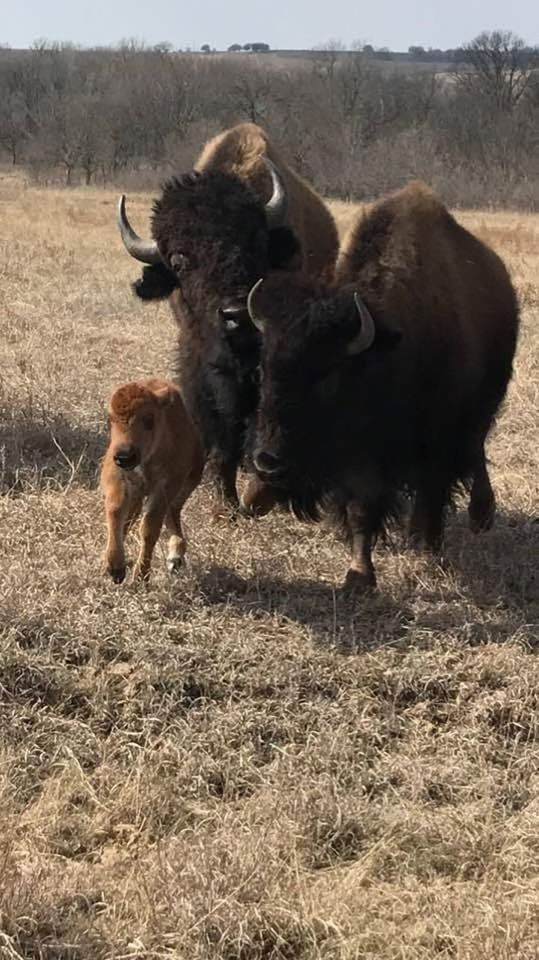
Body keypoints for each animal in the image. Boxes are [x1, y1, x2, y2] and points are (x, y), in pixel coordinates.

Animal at [101, 378, 205, 580]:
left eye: (149, 419)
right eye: (111, 419)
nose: (125, 456)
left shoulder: (166, 485)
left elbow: (149, 527)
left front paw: (141, 575)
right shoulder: (117, 476)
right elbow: (116, 511)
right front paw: (115, 567)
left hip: (190, 479)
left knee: (172, 511)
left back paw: (175, 558)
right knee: (133, 517)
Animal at [118, 126, 340, 520]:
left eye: (255, 244)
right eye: (179, 260)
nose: (237, 314)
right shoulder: (201, 364)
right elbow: (221, 436)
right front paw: (225, 502)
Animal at [247, 176, 520, 588]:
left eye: (326, 375)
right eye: (264, 369)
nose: (267, 462)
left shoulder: (436, 443)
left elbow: (432, 495)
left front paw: (427, 550)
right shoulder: (360, 456)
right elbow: (362, 508)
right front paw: (359, 575)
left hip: (483, 407)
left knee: (475, 451)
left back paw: (479, 516)